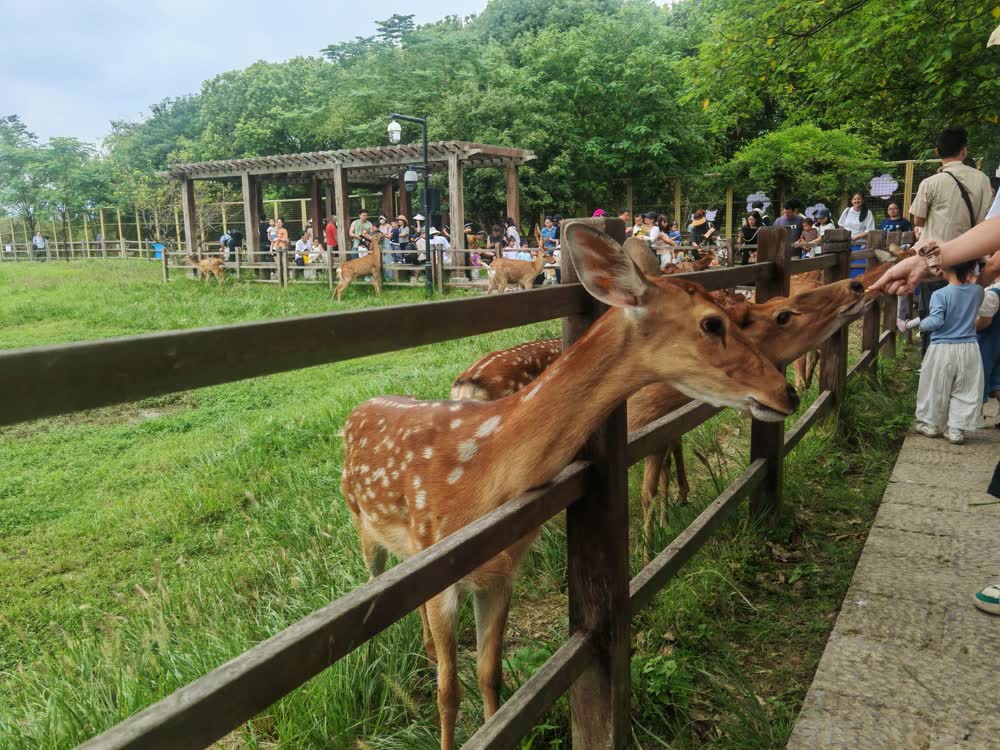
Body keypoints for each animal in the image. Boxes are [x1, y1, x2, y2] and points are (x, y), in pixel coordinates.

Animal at [341, 221, 799, 750]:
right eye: (712, 323)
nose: (787, 392)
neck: (482, 478)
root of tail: (355, 411)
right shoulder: (441, 567)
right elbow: (448, 693)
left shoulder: (500, 573)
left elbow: (490, 675)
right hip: (364, 523)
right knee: (375, 584)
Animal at [452, 276, 866, 560]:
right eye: (784, 314)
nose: (855, 287)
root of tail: (464, 385)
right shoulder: (646, 424)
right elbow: (651, 483)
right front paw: (650, 544)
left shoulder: (664, 424)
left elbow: (667, 461)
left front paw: (673, 510)